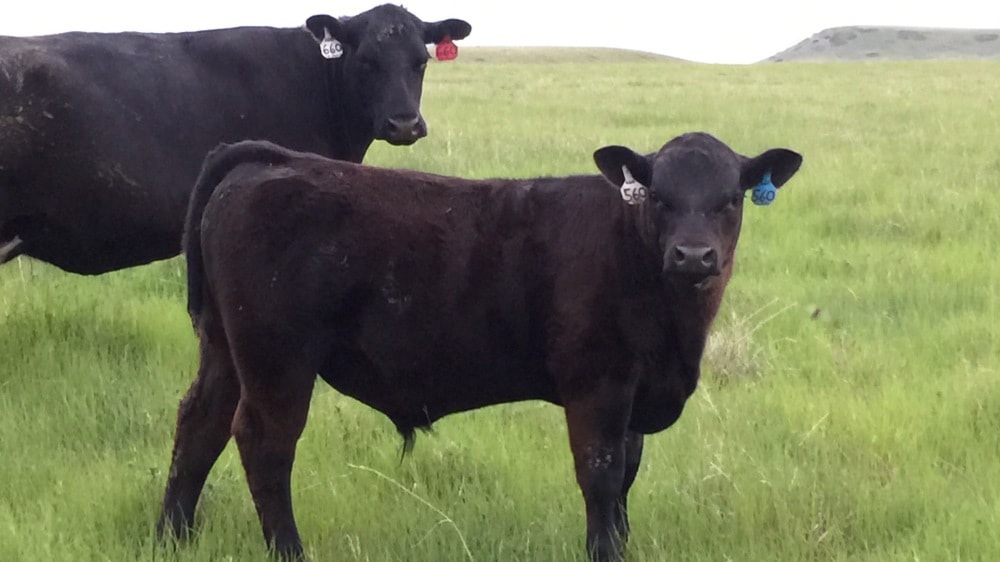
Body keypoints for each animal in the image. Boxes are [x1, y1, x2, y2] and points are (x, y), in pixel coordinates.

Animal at [160, 133, 800, 556]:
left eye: (731, 198)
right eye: (657, 196)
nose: (693, 256)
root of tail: (272, 159)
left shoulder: (635, 391)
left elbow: (627, 477)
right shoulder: (597, 385)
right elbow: (600, 475)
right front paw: (604, 552)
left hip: (224, 347)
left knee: (199, 424)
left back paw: (173, 535)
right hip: (278, 358)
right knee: (264, 443)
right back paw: (288, 550)